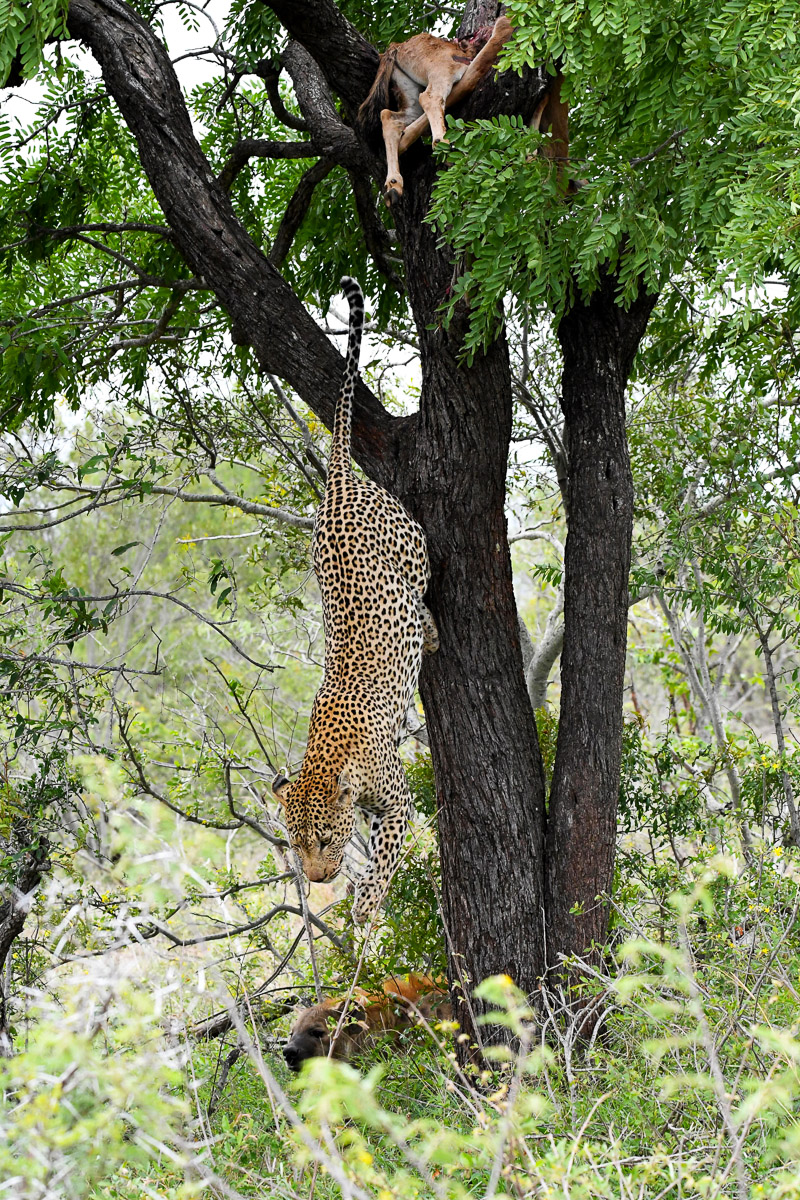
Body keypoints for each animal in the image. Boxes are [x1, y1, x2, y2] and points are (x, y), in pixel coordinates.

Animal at [272, 277, 438, 924]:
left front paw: (364, 913)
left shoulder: (398, 804)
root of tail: (339, 479)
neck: (328, 757)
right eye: (294, 843)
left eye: (323, 839)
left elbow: (384, 864)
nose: (316, 878)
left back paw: (432, 633)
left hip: (414, 553)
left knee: (425, 593)